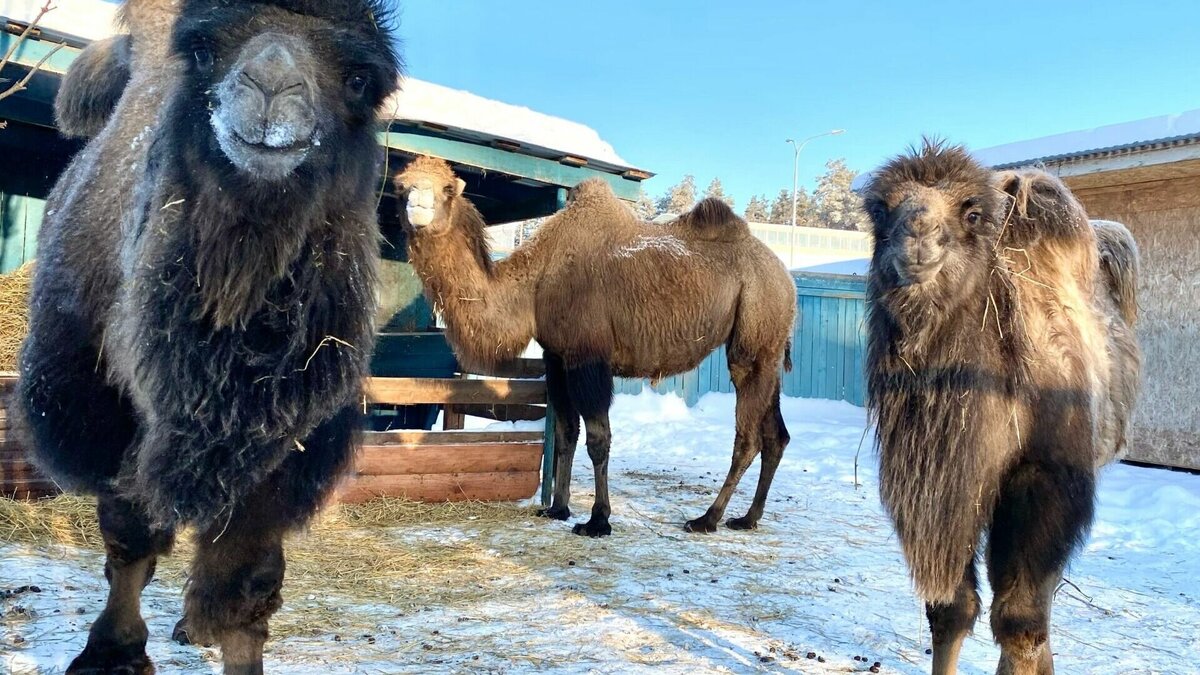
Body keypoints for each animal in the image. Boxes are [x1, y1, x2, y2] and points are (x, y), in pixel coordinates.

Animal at [15, 2, 398, 667]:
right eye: (201, 52)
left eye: (359, 81)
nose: (271, 83)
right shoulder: (120, 417)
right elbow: (130, 539)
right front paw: (112, 653)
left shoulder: (283, 440)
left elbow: (244, 582)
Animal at [398, 156, 801, 535]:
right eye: (402, 185)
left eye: (448, 189)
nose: (415, 203)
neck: (535, 283)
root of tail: (787, 279)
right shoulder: (557, 357)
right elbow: (565, 434)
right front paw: (557, 508)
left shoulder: (587, 355)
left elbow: (597, 439)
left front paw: (597, 520)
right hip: (769, 351)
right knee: (776, 435)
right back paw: (748, 518)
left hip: (753, 332)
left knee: (748, 437)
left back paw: (707, 518)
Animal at [868, 142, 1137, 672]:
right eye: (880, 210)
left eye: (972, 213)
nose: (916, 239)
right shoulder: (946, 491)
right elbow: (949, 610)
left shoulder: (1046, 477)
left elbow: (1020, 621)